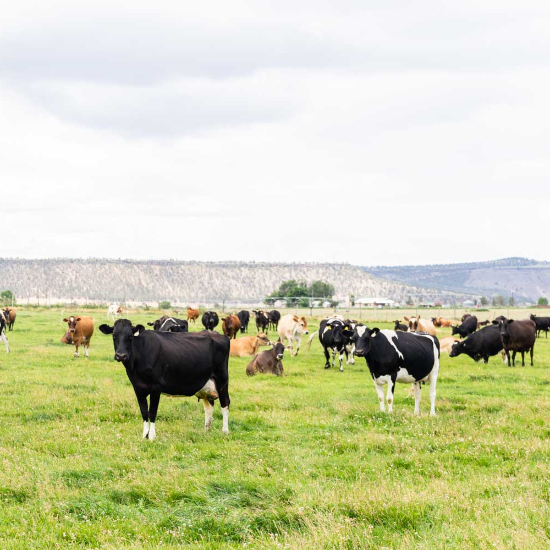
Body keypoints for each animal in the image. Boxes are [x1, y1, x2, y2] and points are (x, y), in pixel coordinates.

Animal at [99, 320, 231, 440]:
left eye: (130, 337)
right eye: (114, 336)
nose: (121, 355)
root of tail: (219, 334)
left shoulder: (156, 387)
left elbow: (152, 412)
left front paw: (152, 436)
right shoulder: (137, 387)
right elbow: (144, 412)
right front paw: (144, 435)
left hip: (222, 378)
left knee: (225, 403)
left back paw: (225, 430)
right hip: (205, 384)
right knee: (209, 405)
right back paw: (206, 429)